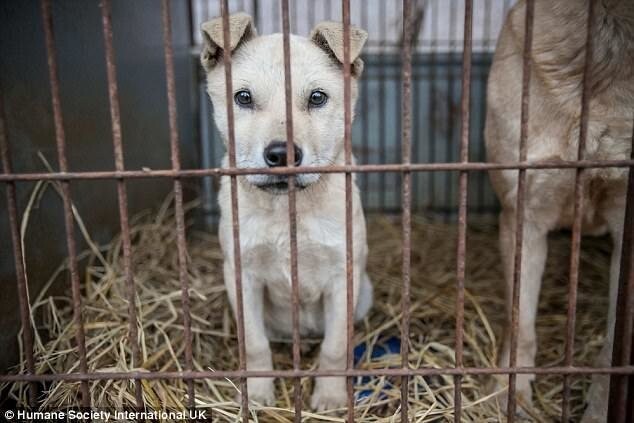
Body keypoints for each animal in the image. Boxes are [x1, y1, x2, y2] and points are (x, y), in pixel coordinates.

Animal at [200, 12, 372, 410]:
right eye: (243, 97)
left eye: (317, 97)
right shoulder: (242, 276)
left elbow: (335, 347)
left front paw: (329, 396)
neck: (287, 209)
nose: (281, 155)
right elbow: (255, 344)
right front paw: (259, 393)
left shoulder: (343, 276)